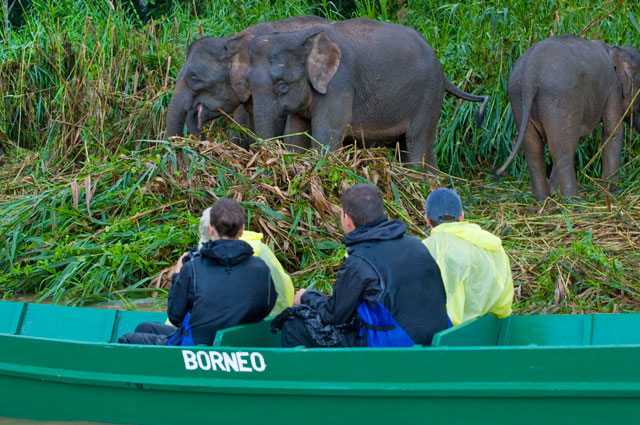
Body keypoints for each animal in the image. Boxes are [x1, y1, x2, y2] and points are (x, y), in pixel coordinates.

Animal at [231, 18, 490, 168]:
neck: (304, 36)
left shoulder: (340, 84)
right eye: (247, 83)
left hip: (429, 97)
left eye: (282, 84)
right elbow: (295, 134)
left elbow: (327, 134)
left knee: (415, 143)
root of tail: (442, 71)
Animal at [496, 34, 640, 200]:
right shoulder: (613, 89)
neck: (614, 48)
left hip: (518, 98)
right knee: (562, 150)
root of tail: (530, 74)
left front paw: (554, 190)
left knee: (533, 149)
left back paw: (543, 198)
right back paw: (572, 199)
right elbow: (613, 132)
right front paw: (611, 191)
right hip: (559, 99)